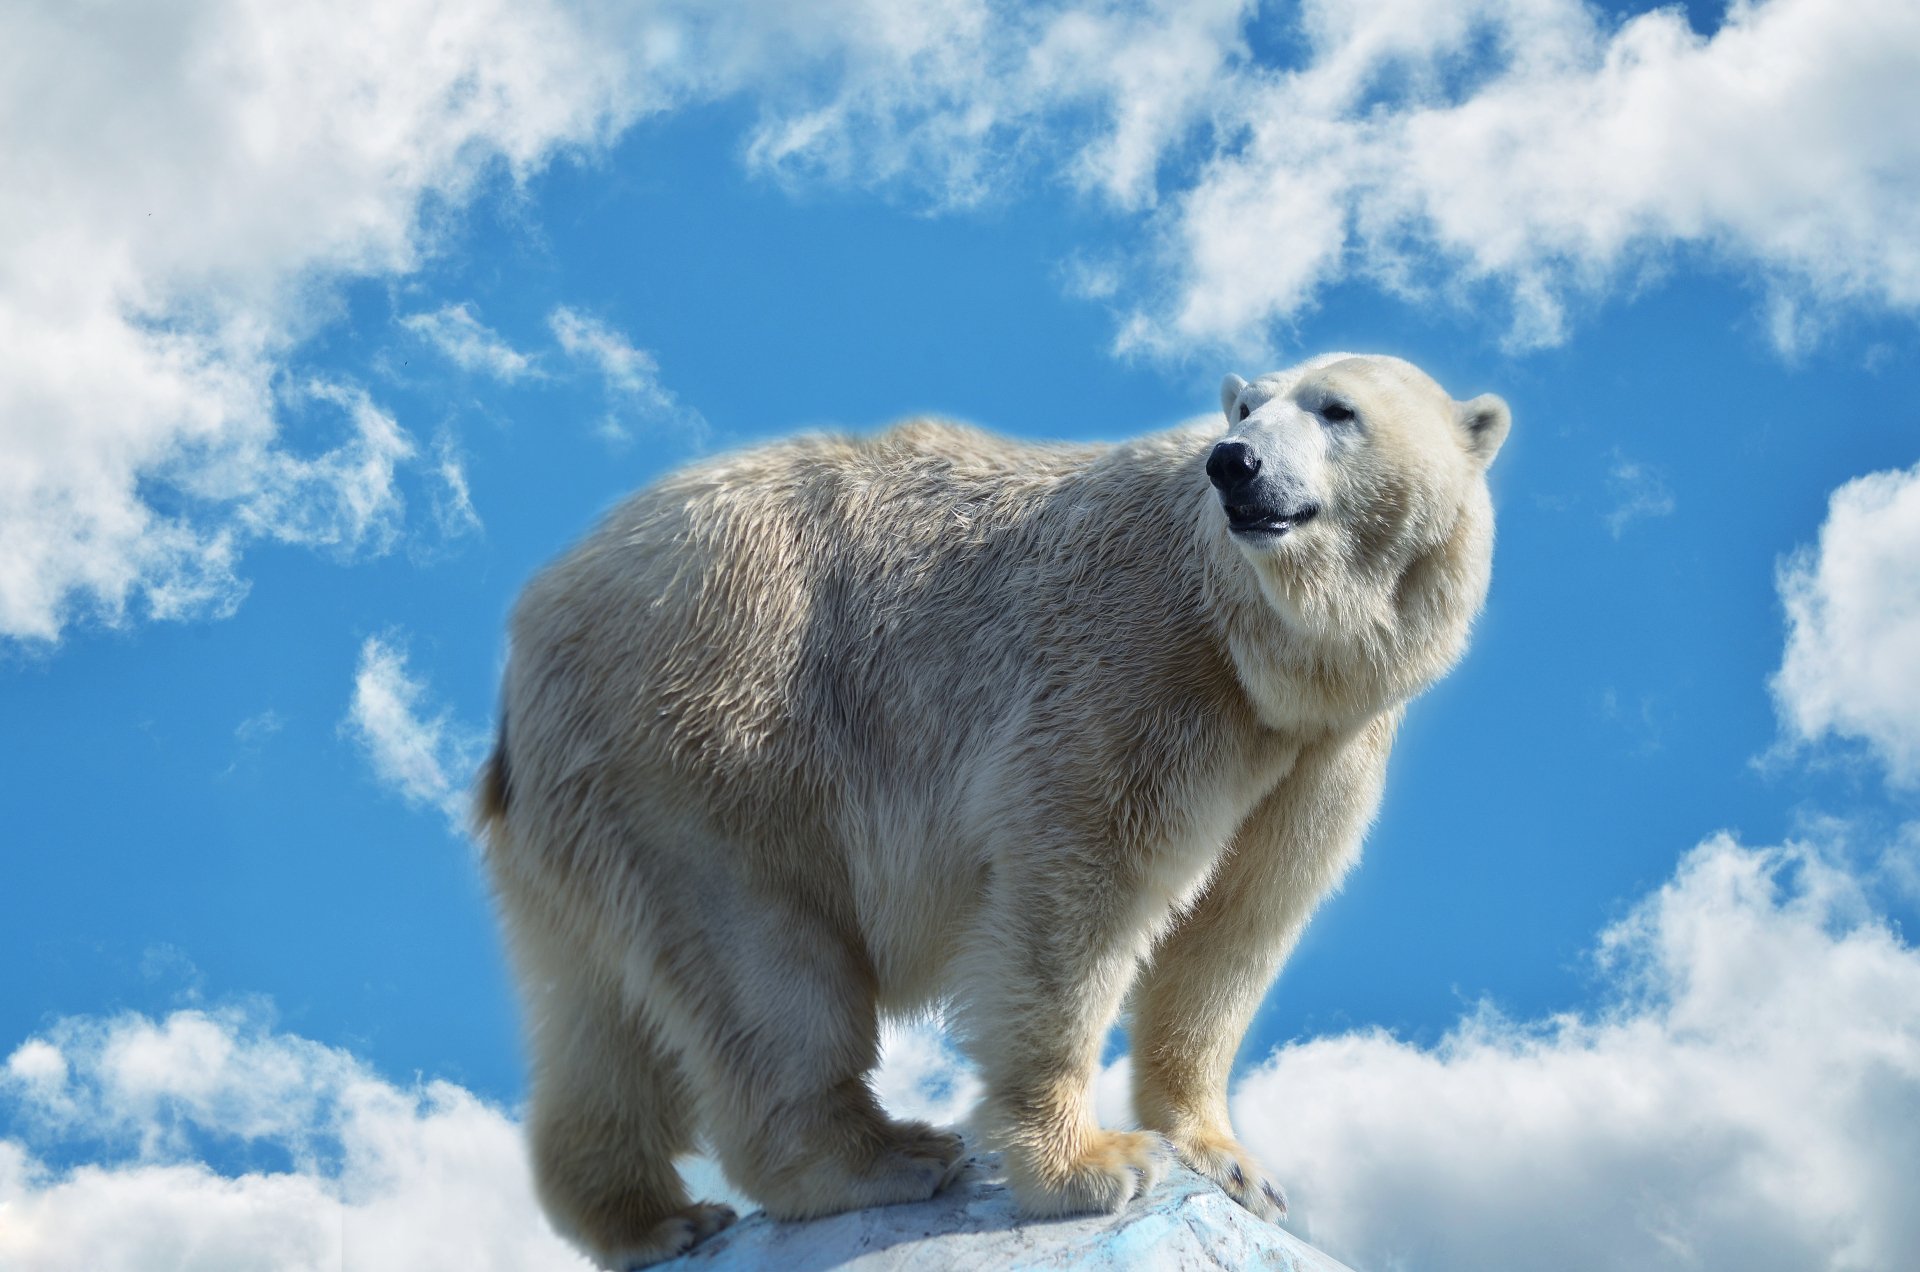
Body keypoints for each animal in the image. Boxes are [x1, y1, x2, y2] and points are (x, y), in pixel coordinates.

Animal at [476, 353, 1510, 1269]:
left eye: (1337, 409)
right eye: (1246, 406)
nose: (1235, 463)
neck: (1262, 652)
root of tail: (531, 635)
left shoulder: (1318, 750)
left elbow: (1235, 926)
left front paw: (1230, 1162)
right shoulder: (1140, 663)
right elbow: (1080, 884)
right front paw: (1090, 1165)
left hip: (599, 814)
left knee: (599, 1013)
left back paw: (655, 1218)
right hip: (723, 738)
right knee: (766, 970)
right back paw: (884, 1158)